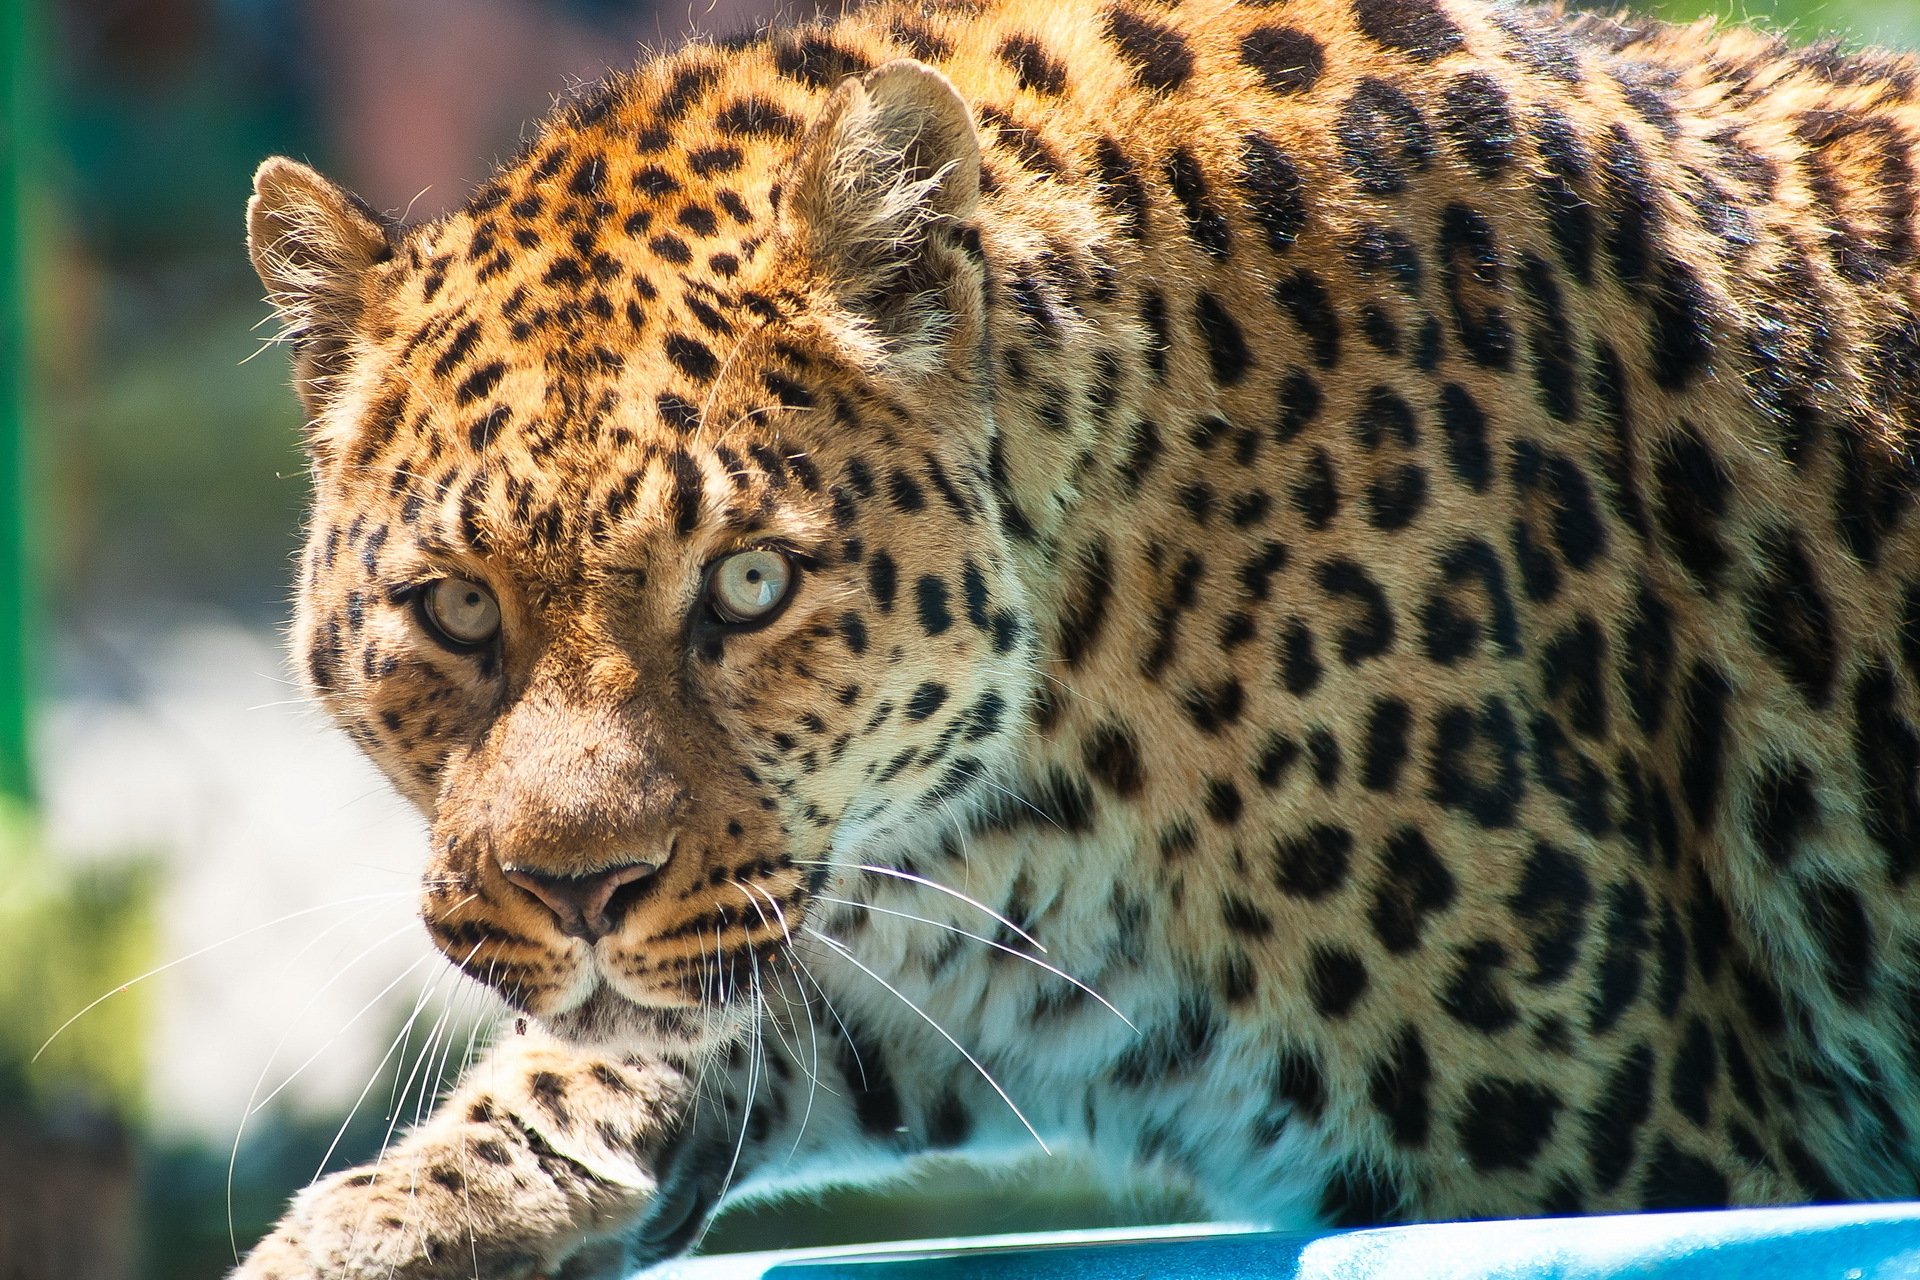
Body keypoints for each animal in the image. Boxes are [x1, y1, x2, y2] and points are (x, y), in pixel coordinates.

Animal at [235, 0, 1920, 1274]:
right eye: (457, 608)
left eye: (749, 587)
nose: (578, 892)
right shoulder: (892, 958)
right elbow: (640, 1048)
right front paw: (379, 1223)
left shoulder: (1638, 1152)